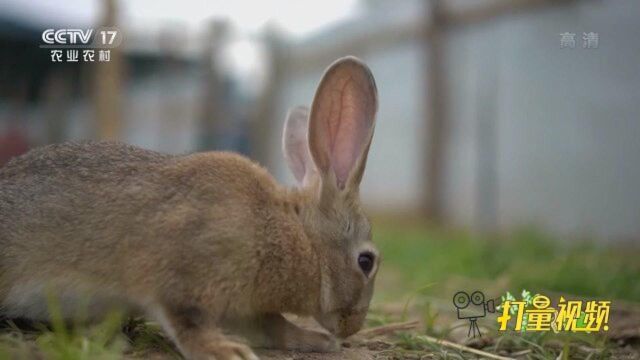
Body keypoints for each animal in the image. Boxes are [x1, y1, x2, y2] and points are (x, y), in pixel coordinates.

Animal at [0, 56, 380, 360]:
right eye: (366, 262)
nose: (352, 327)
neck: (299, 237)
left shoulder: (243, 308)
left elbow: (273, 326)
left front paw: (317, 340)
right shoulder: (183, 272)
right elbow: (186, 321)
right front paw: (226, 351)